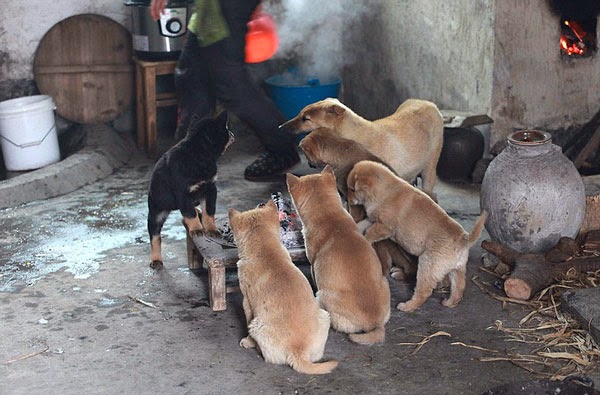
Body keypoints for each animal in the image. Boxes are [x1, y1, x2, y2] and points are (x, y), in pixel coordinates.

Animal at [148, 111, 234, 270]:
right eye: (225, 128)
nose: (232, 134)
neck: (198, 153)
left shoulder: (210, 189)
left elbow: (209, 211)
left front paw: (211, 229)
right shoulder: (184, 194)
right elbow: (190, 214)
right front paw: (197, 229)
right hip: (156, 213)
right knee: (155, 237)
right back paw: (156, 259)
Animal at [227, 201, 338, 374]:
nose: (260, 203)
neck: (266, 251)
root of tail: (299, 352)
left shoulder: (247, 303)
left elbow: (246, 320)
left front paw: (248, 341)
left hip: (257, 325)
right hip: (325, 316)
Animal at [346, 161, 488, 312]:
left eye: (352, 189)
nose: (348, 200)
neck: (384, 190)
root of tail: (464, 240)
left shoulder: (384, 227)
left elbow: (370, 232)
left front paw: (365, 240)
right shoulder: (372, 220)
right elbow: (361, 224)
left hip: (427, 266)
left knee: (423, 292)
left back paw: (407, 306)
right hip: (456, 271)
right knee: (459, 289)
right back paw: (448, 303)